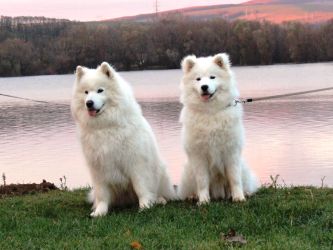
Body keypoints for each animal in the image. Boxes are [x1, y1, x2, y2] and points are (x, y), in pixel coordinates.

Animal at [71, 61, 175, 216]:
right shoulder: (99, 168)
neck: (105, 126)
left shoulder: (136, 164)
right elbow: (102, 194)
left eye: (100, 90)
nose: (89, 103)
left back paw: (159, 199)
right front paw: (100, 212)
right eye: (86, 92)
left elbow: (141, 187)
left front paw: (145, 206)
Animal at [178, 53, 258, 204]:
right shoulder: (199, 156)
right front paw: (203, 200)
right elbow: (202, 181)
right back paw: (193, 196)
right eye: (198, 79)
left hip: (243, 167)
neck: (211, 111)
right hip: (188, 172)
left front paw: (239, 197)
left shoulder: (231, 152)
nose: (204, 87)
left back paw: (245, 192)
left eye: (212, 77)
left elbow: (234, 178)